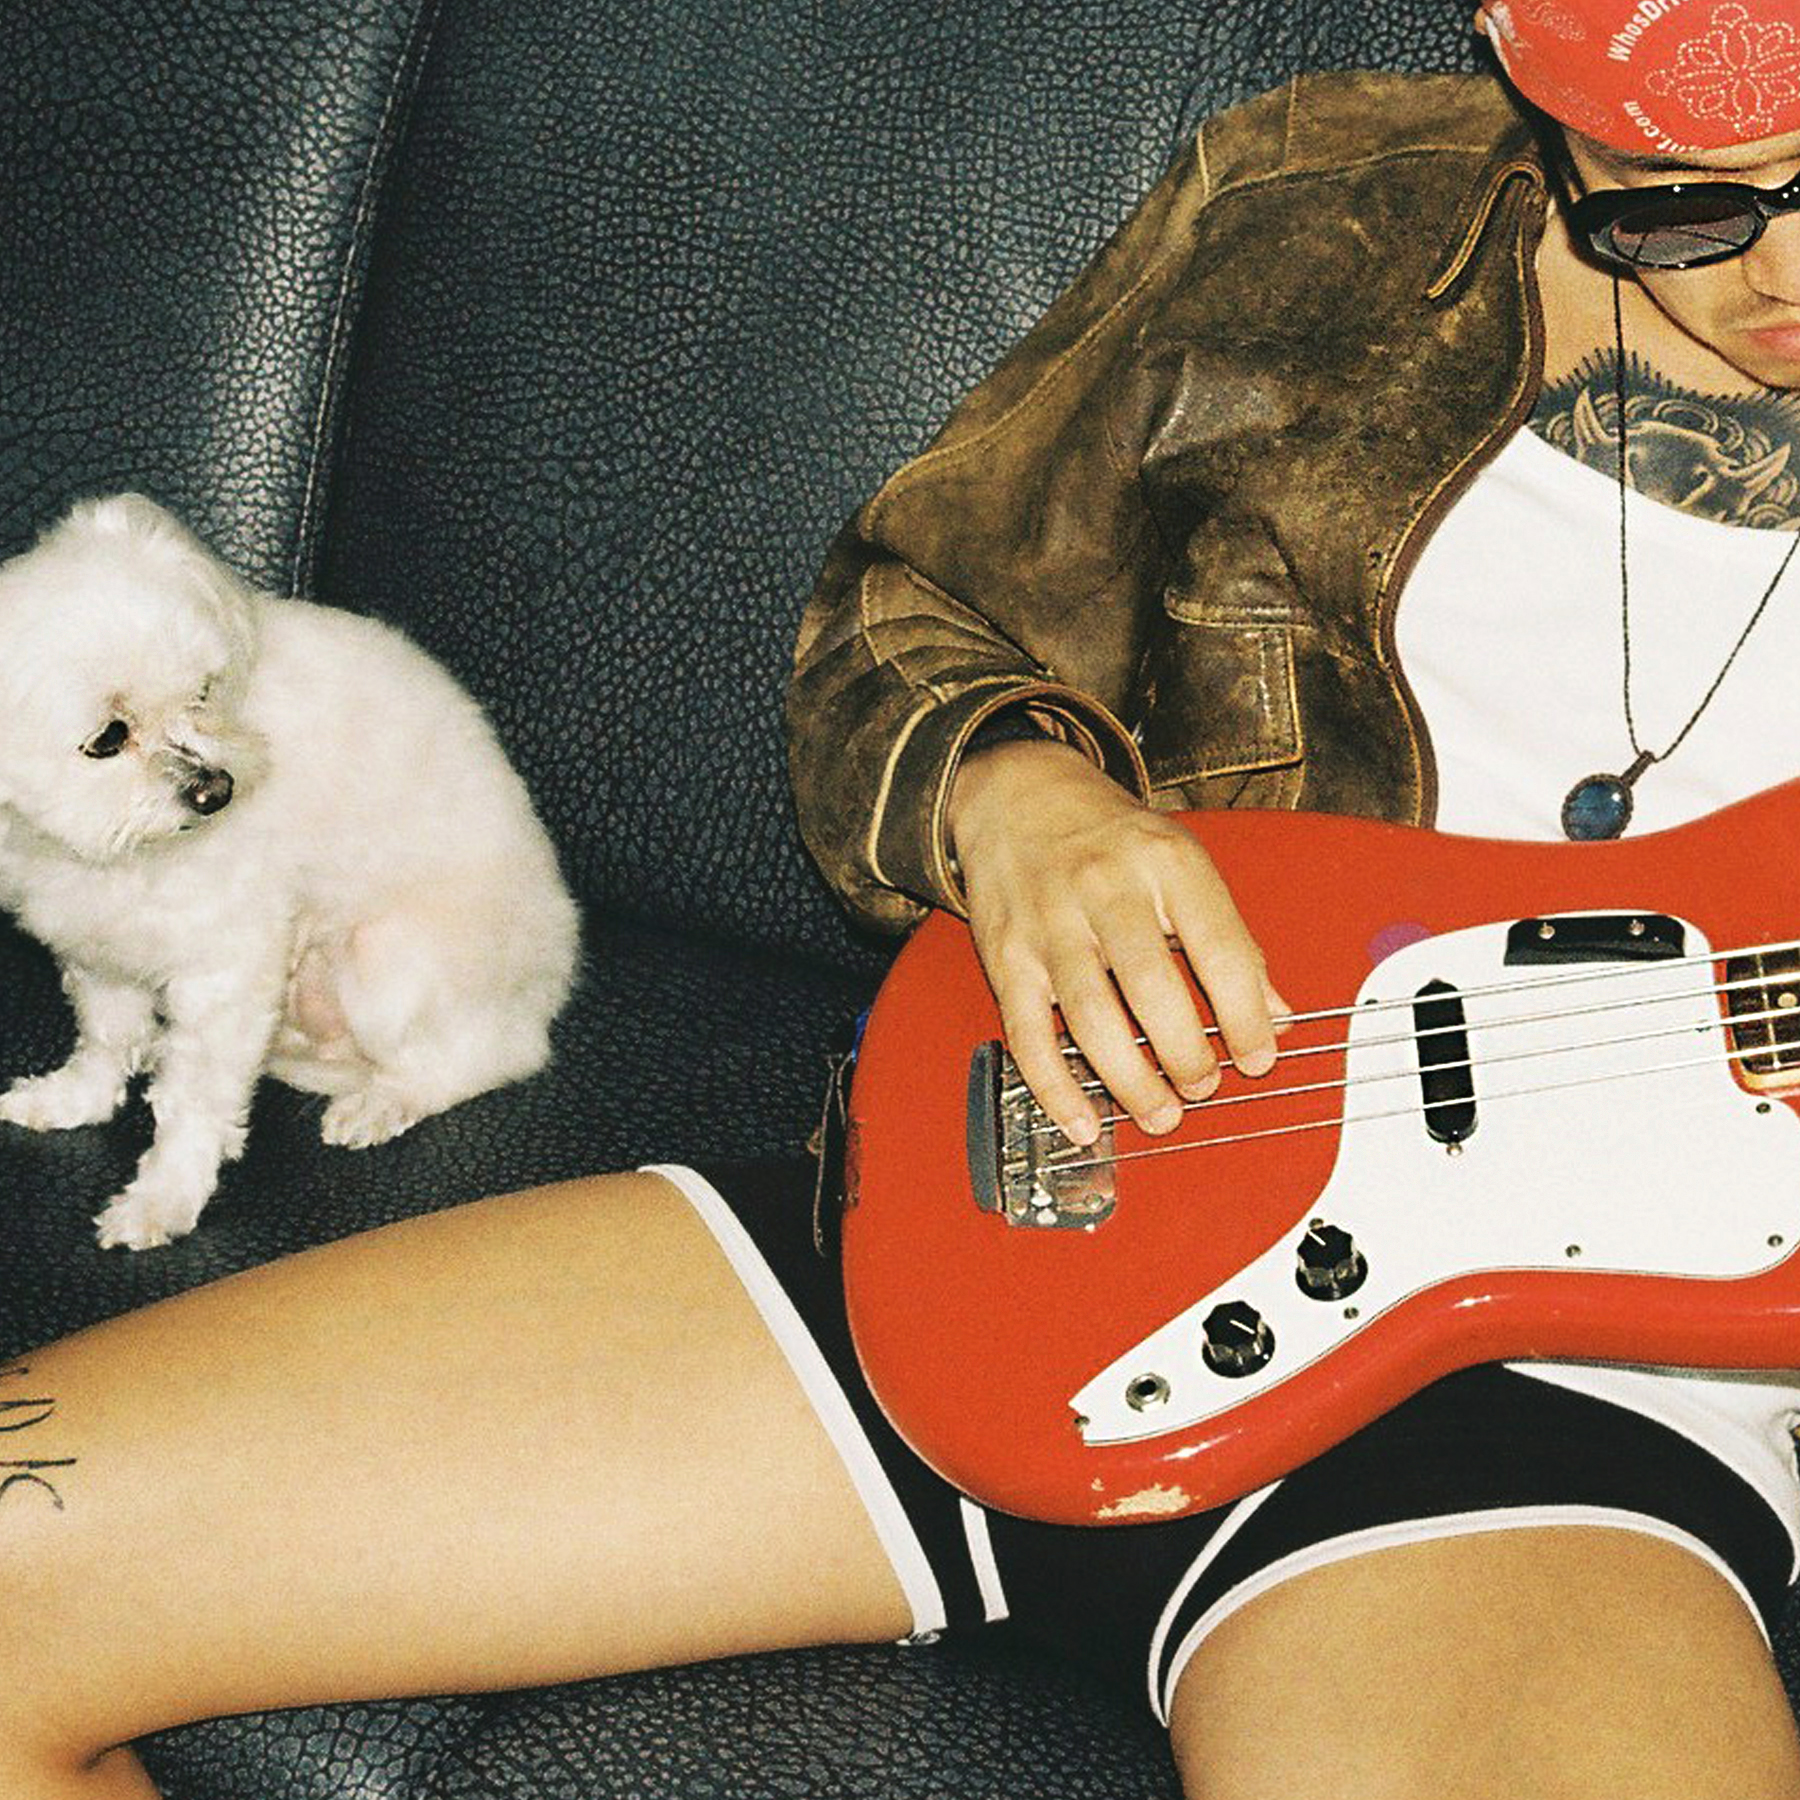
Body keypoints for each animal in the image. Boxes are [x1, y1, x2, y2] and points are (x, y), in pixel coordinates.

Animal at [0, 494, 581, 1249]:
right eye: (108, 739)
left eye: (203, 693)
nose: (215, 790)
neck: (118, 855)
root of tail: (549, 986)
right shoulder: (97, 949)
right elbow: (106, 1039)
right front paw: (75, 1099)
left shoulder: (226, 969)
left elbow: (193, 1103)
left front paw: (165, 1198)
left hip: (388, 965)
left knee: (490, 1058)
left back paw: (385, 1101)